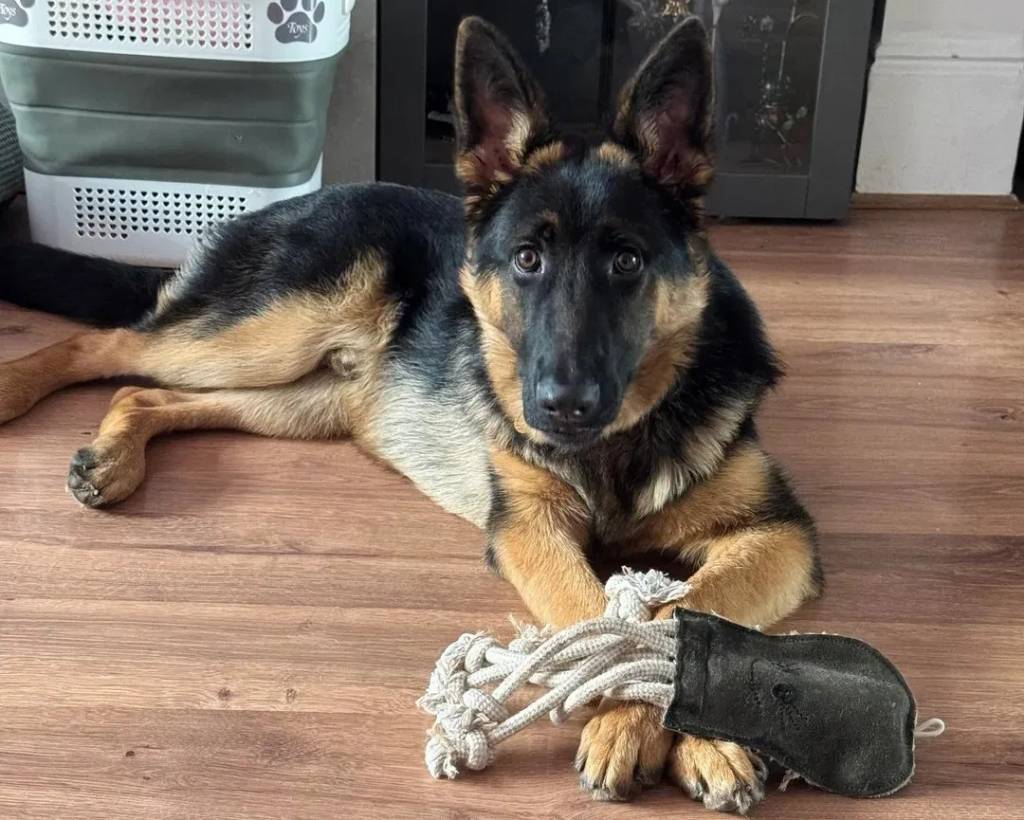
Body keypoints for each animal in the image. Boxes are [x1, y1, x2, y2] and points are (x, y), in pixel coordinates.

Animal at [0, 16, 821, 812]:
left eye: (627, 262)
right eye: (528, 260)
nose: (559, 405)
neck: (616, 441)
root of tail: (301, 198)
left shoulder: (780, 536)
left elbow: (686, 617)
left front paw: (699, 736)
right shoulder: (528, 529)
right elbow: (602, 618)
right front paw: (634, 714)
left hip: (302, 398)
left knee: (146, 392)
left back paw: (113, 454)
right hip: (268, 337)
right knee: (109, 343)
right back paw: (18, 387)